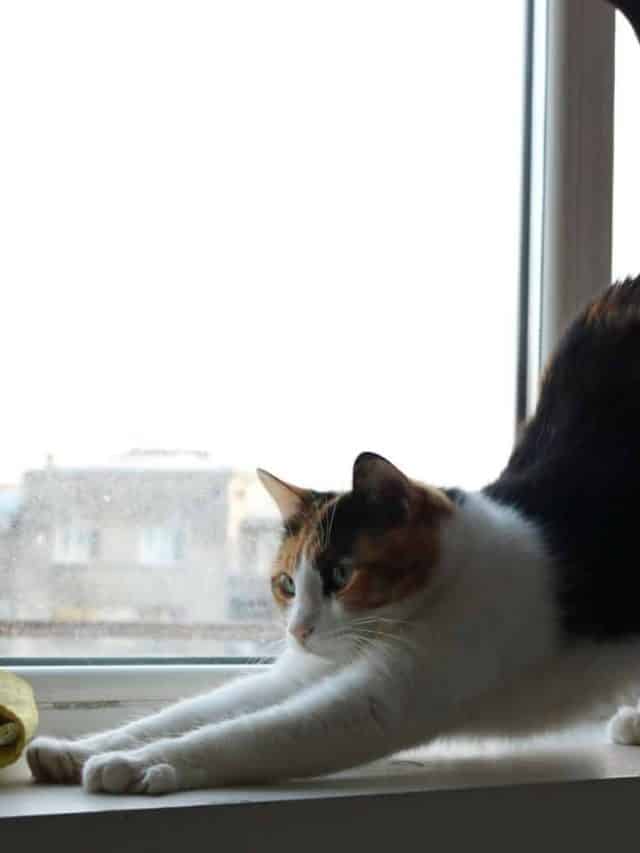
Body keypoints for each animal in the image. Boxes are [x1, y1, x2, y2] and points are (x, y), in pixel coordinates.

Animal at [27, 278, 640, 792]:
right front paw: (80, 748)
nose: (298, 631)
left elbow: (247, 734)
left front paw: (139, 764)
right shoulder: (302, 670)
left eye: (342, 575)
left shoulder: (391, 696)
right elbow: (194, 710)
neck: (449, 580)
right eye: (285, 584)